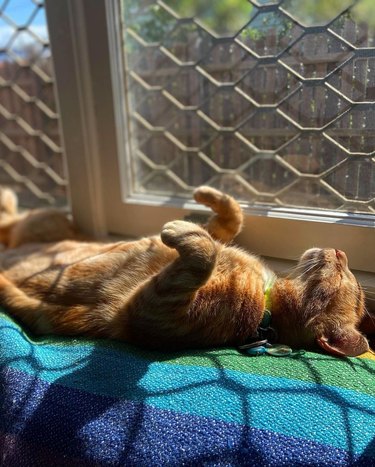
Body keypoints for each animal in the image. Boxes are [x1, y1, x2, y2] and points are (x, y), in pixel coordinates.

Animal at [0, 185, 370, 356]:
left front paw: (179, 229)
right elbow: (230, 219)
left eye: (342, 276)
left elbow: (203, 255)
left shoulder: (150, 311)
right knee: (9, 221)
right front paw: (205, 197)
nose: (341, 251)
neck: (265, 302)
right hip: (44, 220)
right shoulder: (220, 234)